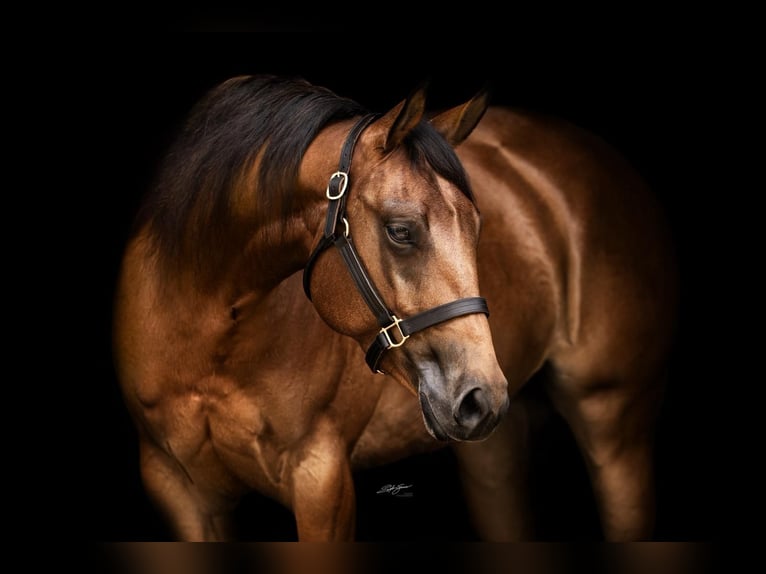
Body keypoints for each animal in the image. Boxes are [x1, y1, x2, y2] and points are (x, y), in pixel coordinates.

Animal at [112, 74, 677, 541]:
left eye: (478, 227)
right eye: (401, 231)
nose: (482, 394)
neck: (208, 340)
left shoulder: (321, 479)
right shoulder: (179, 491)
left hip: (614, 426)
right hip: (495, 449)